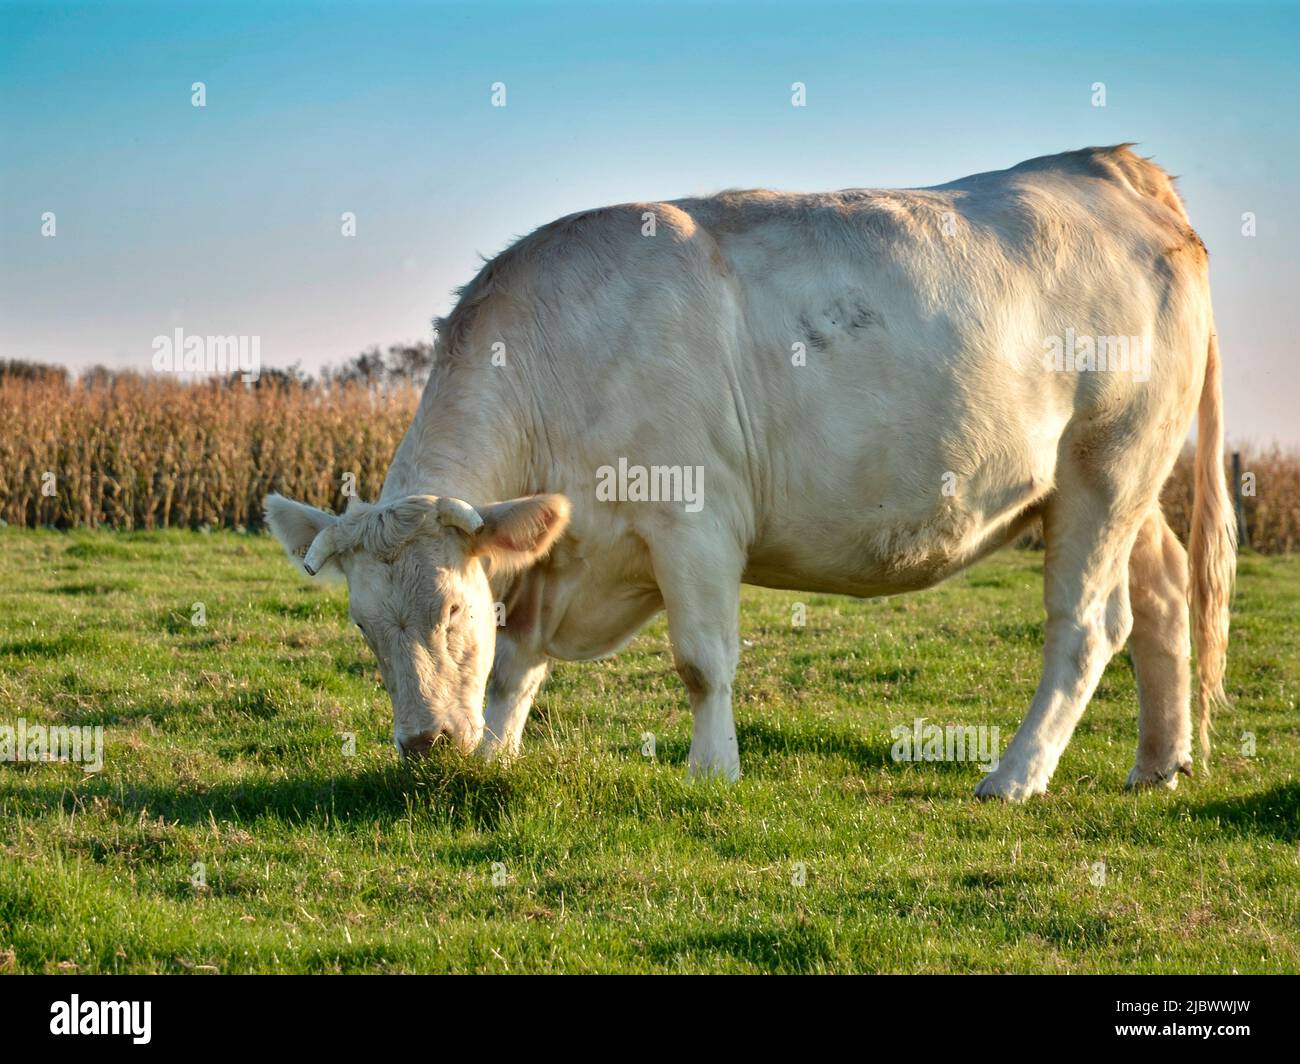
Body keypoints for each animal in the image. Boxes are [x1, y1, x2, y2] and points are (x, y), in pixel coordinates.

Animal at [266, 146, 1237, 796]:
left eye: (454, 609)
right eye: (364, 629)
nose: (426, 746)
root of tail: (1108, 167)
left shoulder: (693, 523)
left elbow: (701, 662)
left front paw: (712, 774)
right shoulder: (565, 552)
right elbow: (517, 663)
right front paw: (499, 753)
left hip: (1108, 467)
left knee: (1086, 626)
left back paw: (1014, 777)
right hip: (1120, 482)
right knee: (1160, 589)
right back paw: (1159, 765)